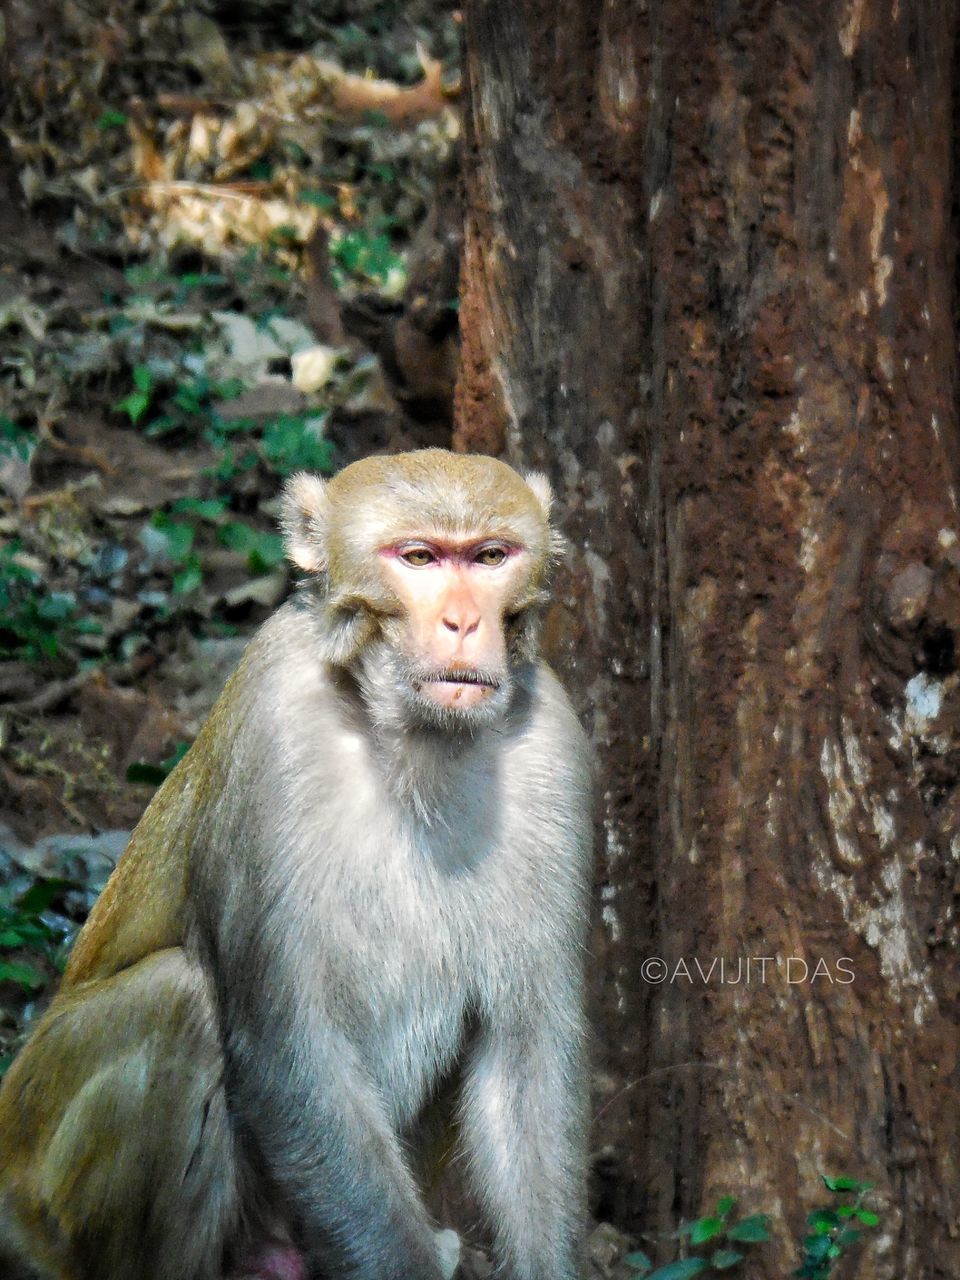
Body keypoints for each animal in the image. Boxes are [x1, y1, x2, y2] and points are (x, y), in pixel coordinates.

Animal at [0, 448, 593, 1280]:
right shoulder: (272, 717)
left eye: (489, 557)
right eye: (418, 558)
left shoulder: (551, 742)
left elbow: (525, 1064)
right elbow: (293, 1054)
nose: (464, 622)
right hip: (43, 1185)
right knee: (174, 1000)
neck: (411, 738)